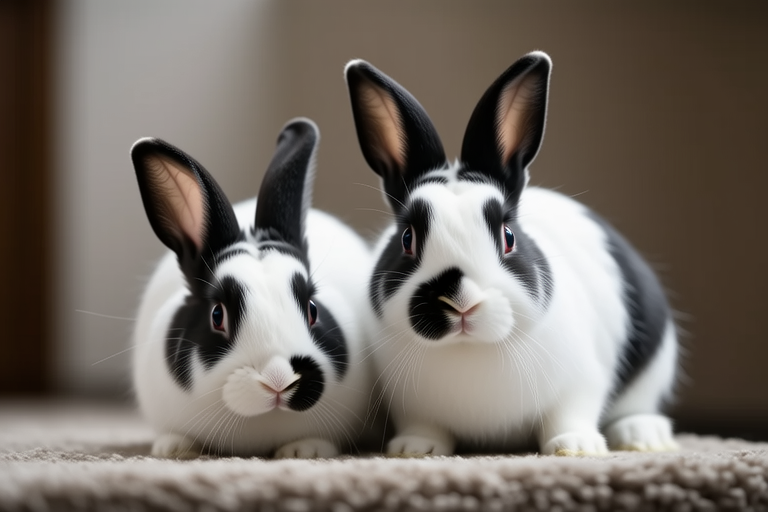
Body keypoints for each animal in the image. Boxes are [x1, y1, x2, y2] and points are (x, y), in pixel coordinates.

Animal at [344, 52, 679, 457]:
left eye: (508, 237)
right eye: (408, 239)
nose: (460, 300)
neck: (470, 349)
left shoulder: (582, 381)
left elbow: (569, 414)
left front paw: (575, 447)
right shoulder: (409, 404)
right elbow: (423, 425)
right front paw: (414, 448)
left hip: (655, 362)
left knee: (639, 405)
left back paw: (642, 437)